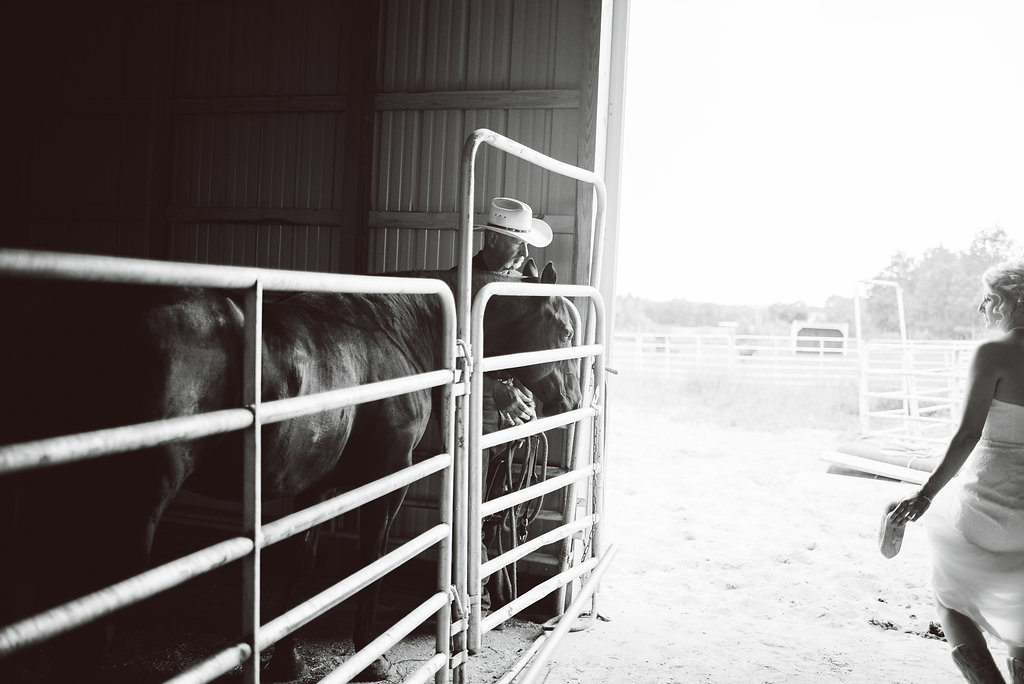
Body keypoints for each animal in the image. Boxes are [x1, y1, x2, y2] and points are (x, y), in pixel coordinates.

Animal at [0, 262, 577, 679]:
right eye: (567, 329)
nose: (573, 397)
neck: (395, 328)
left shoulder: (317, 489)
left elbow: (303, 565)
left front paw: (287, 658)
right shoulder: (385, 479)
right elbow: (371, 562)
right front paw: (373, 656)